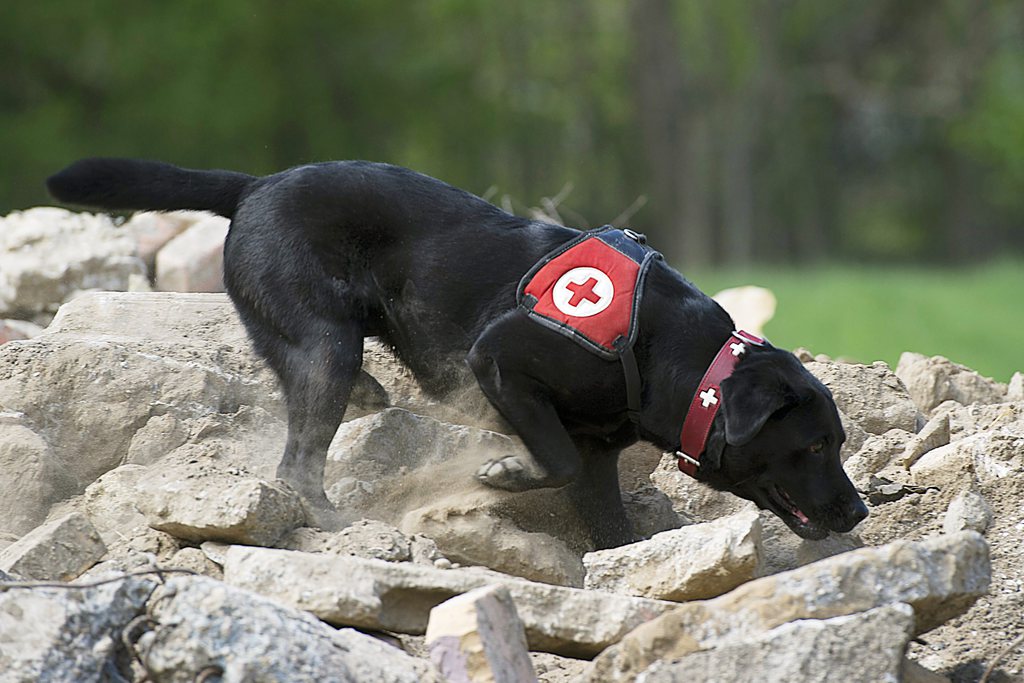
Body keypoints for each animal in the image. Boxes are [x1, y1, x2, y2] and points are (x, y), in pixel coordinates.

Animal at [46, 157, 864, 548]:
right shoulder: (499, 358)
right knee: (297, 463)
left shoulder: (599, 454)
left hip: (316, 340)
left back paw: (373, 400)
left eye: (837, 442)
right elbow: (550, 457)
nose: (859, 511)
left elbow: (606, 521)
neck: (689, 364)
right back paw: (339, 519)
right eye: (814, 445)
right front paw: (501, 475)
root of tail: (255, 184)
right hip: (327, 344)